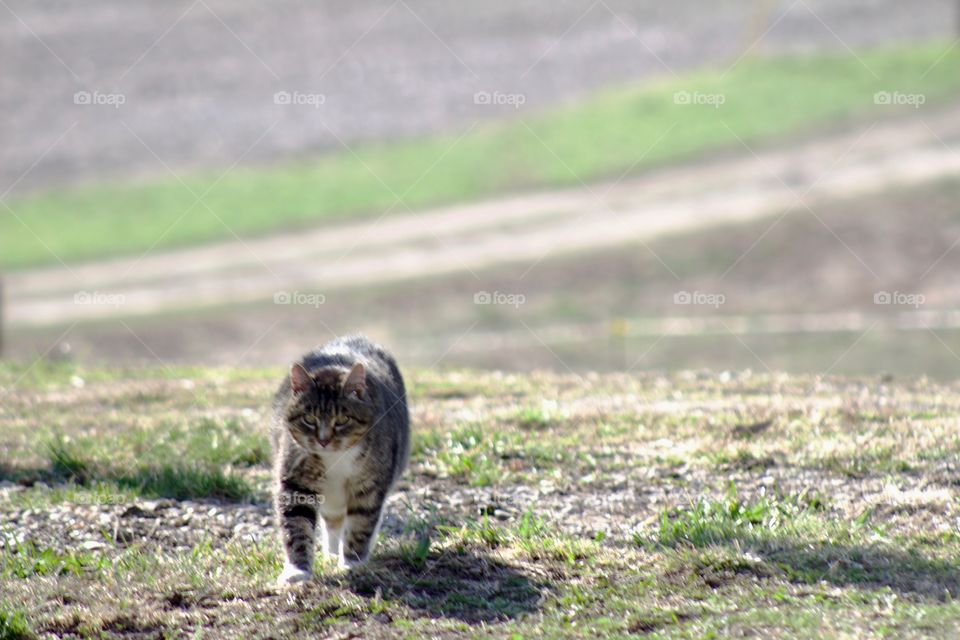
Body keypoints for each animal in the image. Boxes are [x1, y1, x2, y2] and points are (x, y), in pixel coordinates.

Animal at [270, 336, 408, 584]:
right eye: (309, 419)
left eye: (343, 419)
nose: (323, 440)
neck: (334, 457)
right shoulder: (295, 478)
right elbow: (296, 523)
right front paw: (297, 570)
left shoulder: (370, 485)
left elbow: (361, 522)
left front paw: (352, 563)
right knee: (332, 520)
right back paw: (332, 553)